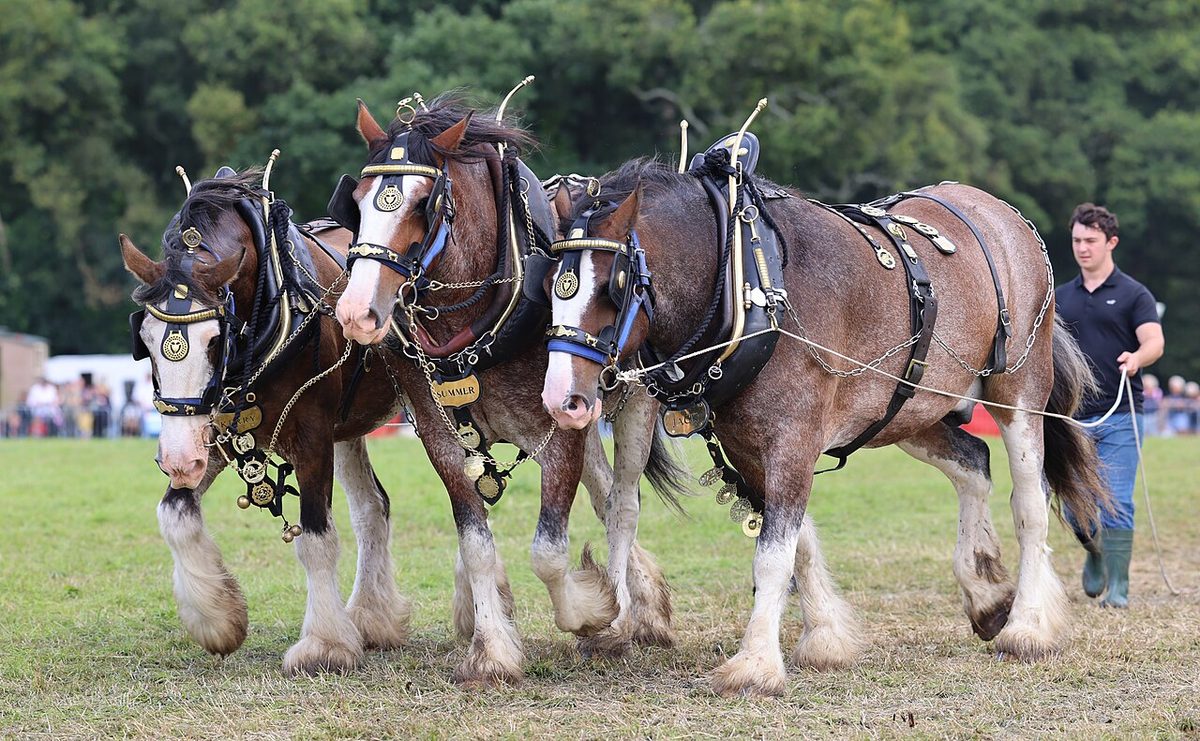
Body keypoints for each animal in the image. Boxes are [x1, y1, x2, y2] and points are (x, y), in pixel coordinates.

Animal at [120, 167, 411, 675]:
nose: (176, 461)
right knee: (373, 508)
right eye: (147, 342)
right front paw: (219, 620)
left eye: (216, 340)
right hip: (348, 428)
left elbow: (315, 538)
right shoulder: (213, 434)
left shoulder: (312, 436)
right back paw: (372, 617)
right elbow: (174, 514)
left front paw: (324, 645)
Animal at [331, 94, 690, 680]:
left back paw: (625, 617)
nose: (357, 312)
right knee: (602, 492)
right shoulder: (442, 438)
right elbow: (476, 544)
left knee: (622, 506)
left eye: (424, 203)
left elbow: (549, 551)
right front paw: (493, 650)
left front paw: (594, 612)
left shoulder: (560, 431)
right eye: (357, 203)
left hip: (633, 403)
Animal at [541, 154, 1111, 697]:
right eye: (551, 285)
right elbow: (796, 545)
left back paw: (1027, 626)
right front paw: (825, 640)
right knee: (974, 465)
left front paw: (755, 665)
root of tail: (1000, 213)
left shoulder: (793, 442)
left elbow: (773, 556)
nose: (561, 398)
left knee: (1029, 502)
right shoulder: (749, 448)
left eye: (612, 286)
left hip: (1018, 391)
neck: (745, 277)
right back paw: (987, 594)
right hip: (912, 409)